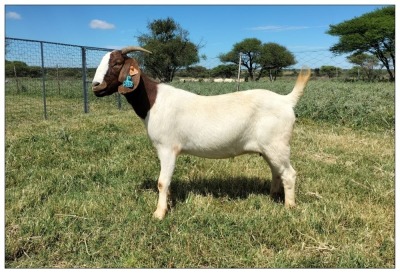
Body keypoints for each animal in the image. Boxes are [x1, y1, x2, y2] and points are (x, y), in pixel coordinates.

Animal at [92, 46, 310, 219]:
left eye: (117, 63)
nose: (96, 86)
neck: (153, 101)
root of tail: (286, 100)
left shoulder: (167, 148)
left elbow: (162, 182)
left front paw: (159, 213)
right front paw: (167, 204)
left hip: (277, 144)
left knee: (289, 174)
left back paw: (289, 207)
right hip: (268, 148)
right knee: (276, 171)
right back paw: (273, 196)